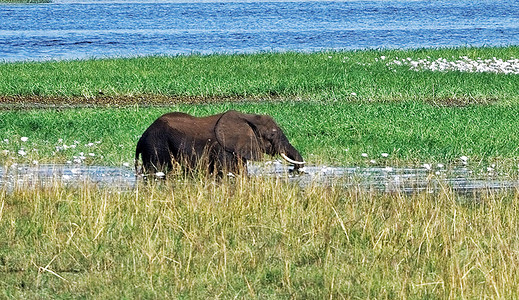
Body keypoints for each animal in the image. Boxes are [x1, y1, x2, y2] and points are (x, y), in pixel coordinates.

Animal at [135, 109, 304, 176]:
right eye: (272, 134)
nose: (293, 170)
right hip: (155, 145)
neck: (248, 117)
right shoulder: (223, 148)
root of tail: (141, 137)